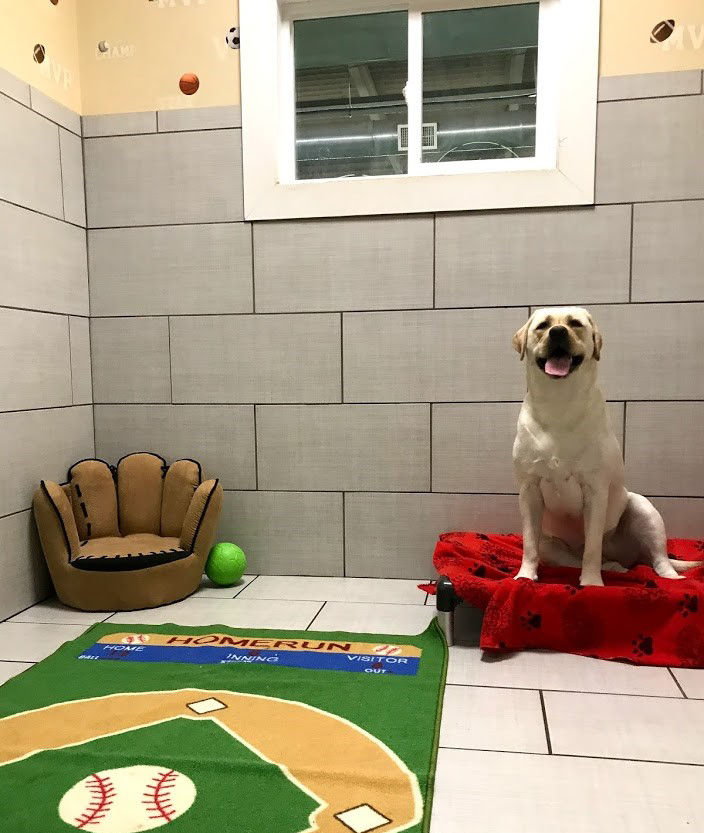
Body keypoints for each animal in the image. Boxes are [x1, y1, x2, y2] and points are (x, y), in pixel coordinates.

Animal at [508, 306, 700, 584]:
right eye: (543, 326)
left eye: (575, 323)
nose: (558, 332)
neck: (559, 402)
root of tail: (633, 557)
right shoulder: (529, 490)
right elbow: (530, 545)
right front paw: (525, 576)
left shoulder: (595, 490)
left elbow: (592, 546)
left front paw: (591, 583)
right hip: (550, 543)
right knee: (568, 558)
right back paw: (613, 567)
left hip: (643, 509)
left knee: (658, 558)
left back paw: (665, 577)